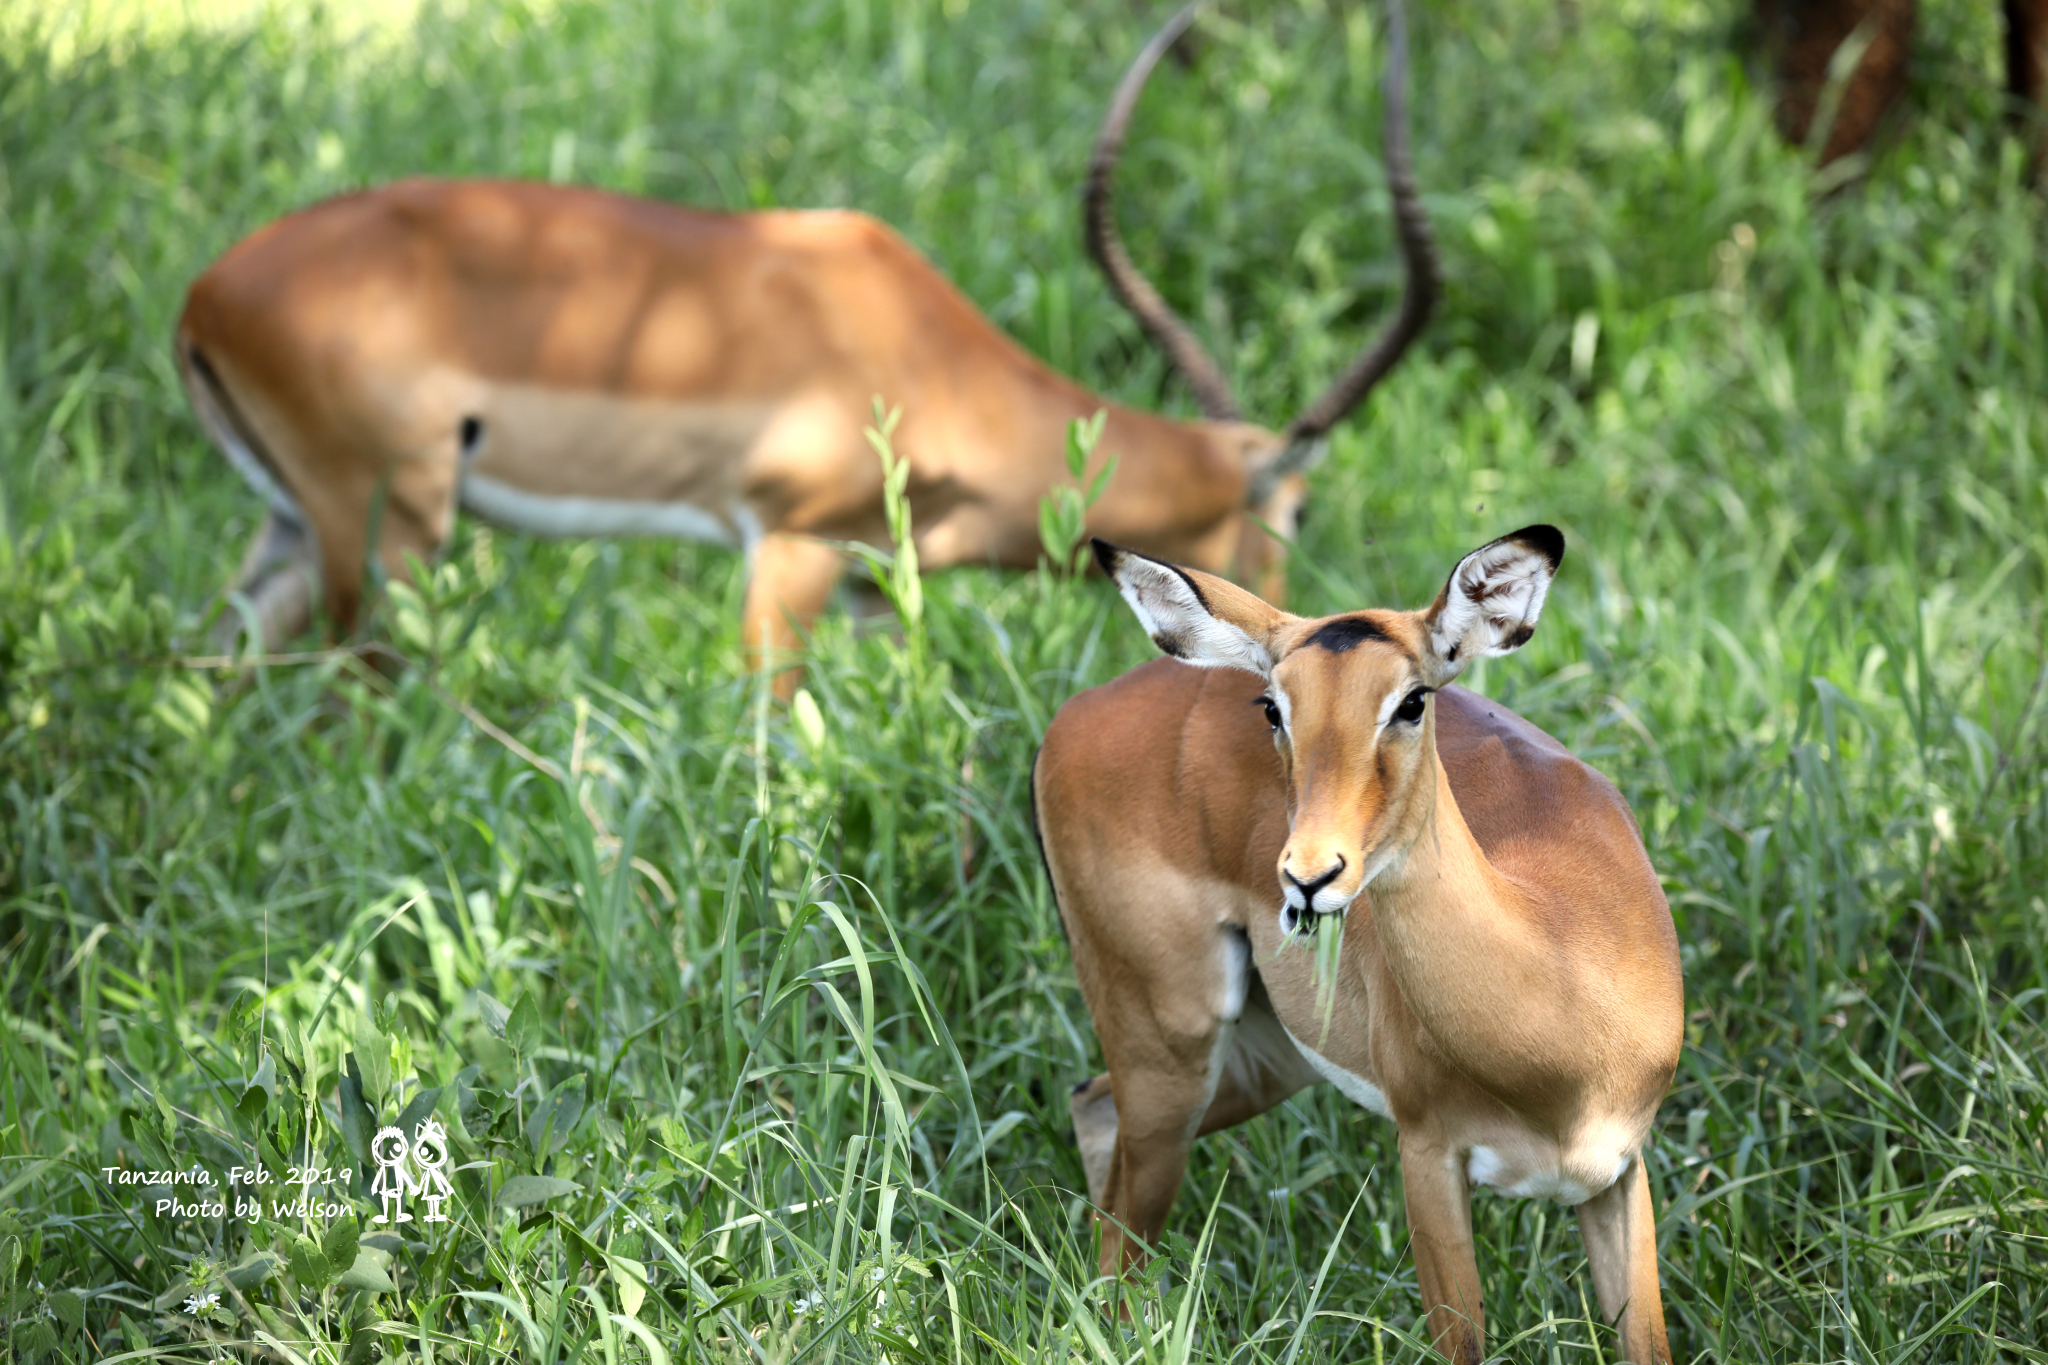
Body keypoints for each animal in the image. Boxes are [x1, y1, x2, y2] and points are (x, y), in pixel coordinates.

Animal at [176, 0, 1433, 679]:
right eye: (1294, 514)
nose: (1302, 627)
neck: (934, 364)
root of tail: (203, 296)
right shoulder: (786, 545)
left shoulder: (871, 592)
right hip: (387, 527)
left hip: (291, 528)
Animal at [1032, 527, 1687, 1365]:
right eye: (1273, 704)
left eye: (1412, 699)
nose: (1309, 875)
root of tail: (1074, 713)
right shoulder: (1427, 1154)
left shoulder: (1618, 1171)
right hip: (1171, 1046)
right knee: (1120, 1225)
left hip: (1260, 1057)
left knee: (1093, 1115)